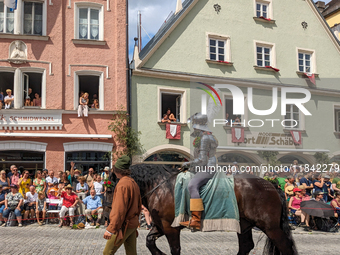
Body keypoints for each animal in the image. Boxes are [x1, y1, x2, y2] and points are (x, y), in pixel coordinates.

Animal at [104, 165, 298, 255]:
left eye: (111, 189)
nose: (107, 216)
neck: (160, 187)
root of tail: (271, 185)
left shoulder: (170, 228)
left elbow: (175, 249)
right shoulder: (159, 225)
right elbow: (149, 242)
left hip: (271, 228)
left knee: (285, 246)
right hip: (243, 225)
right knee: (245, 246)